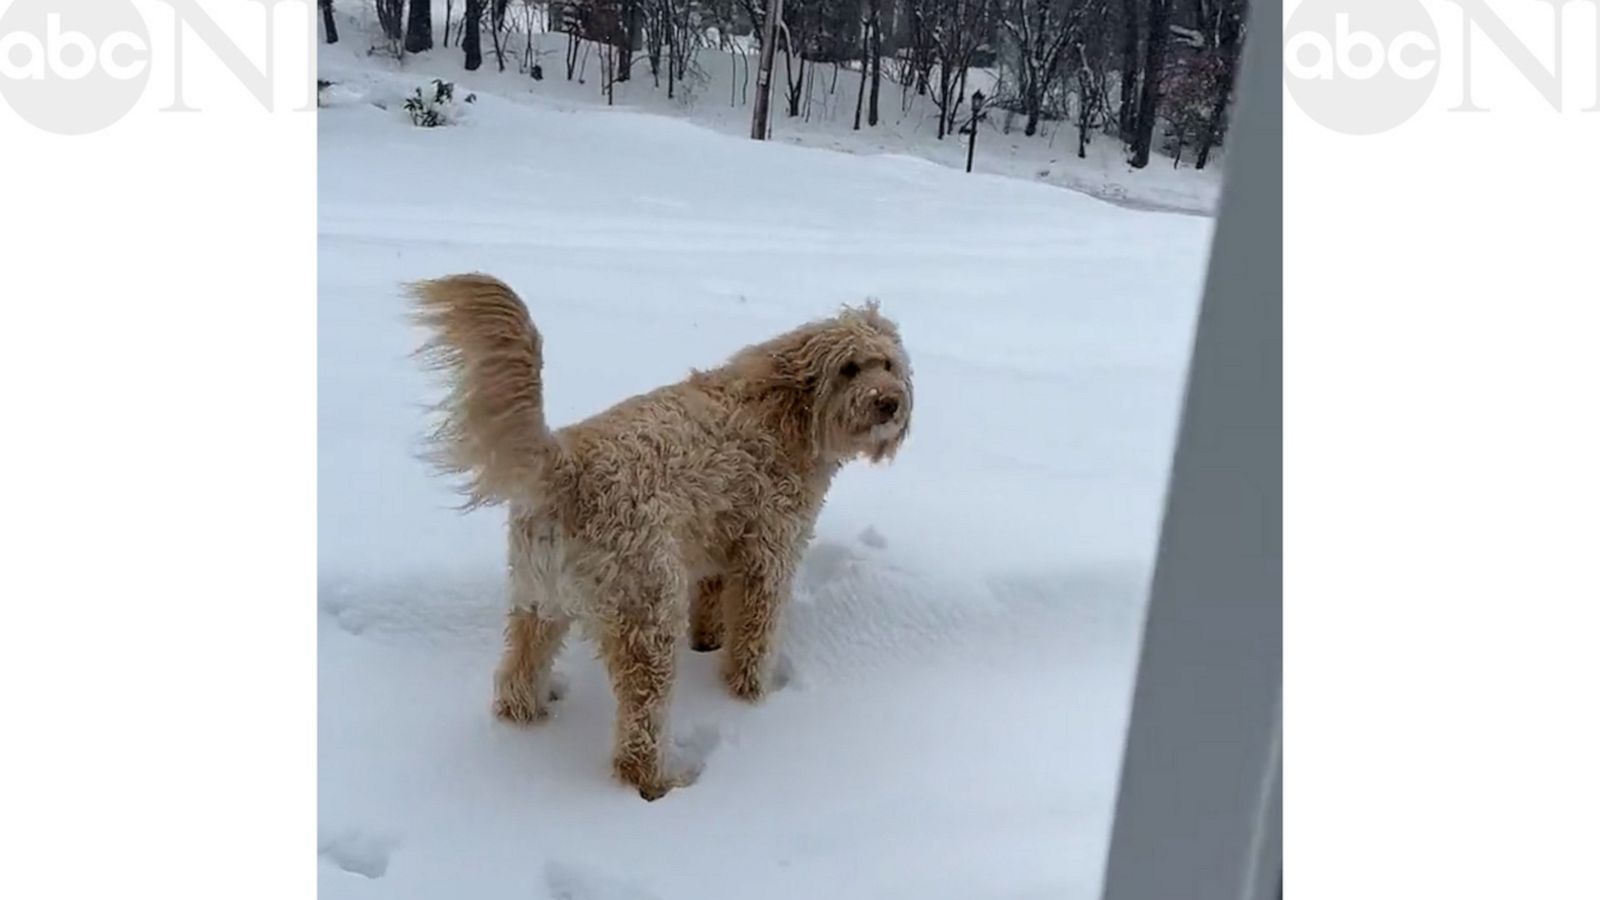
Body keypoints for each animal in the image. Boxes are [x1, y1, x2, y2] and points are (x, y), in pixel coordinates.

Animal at [406, 269, 921, 794]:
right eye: (850, 369)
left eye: (887, 363)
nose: (889, 402)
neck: (787, 411)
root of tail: (565, 466)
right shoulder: (768, 552)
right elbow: (753, 638)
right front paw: (751, 697)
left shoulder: (716, 545)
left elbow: (712, 606)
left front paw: (708, 642)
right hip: (647, 612)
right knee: (639, 729)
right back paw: (659, 781)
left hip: (536, 601)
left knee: (515, 679)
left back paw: (525, 723)